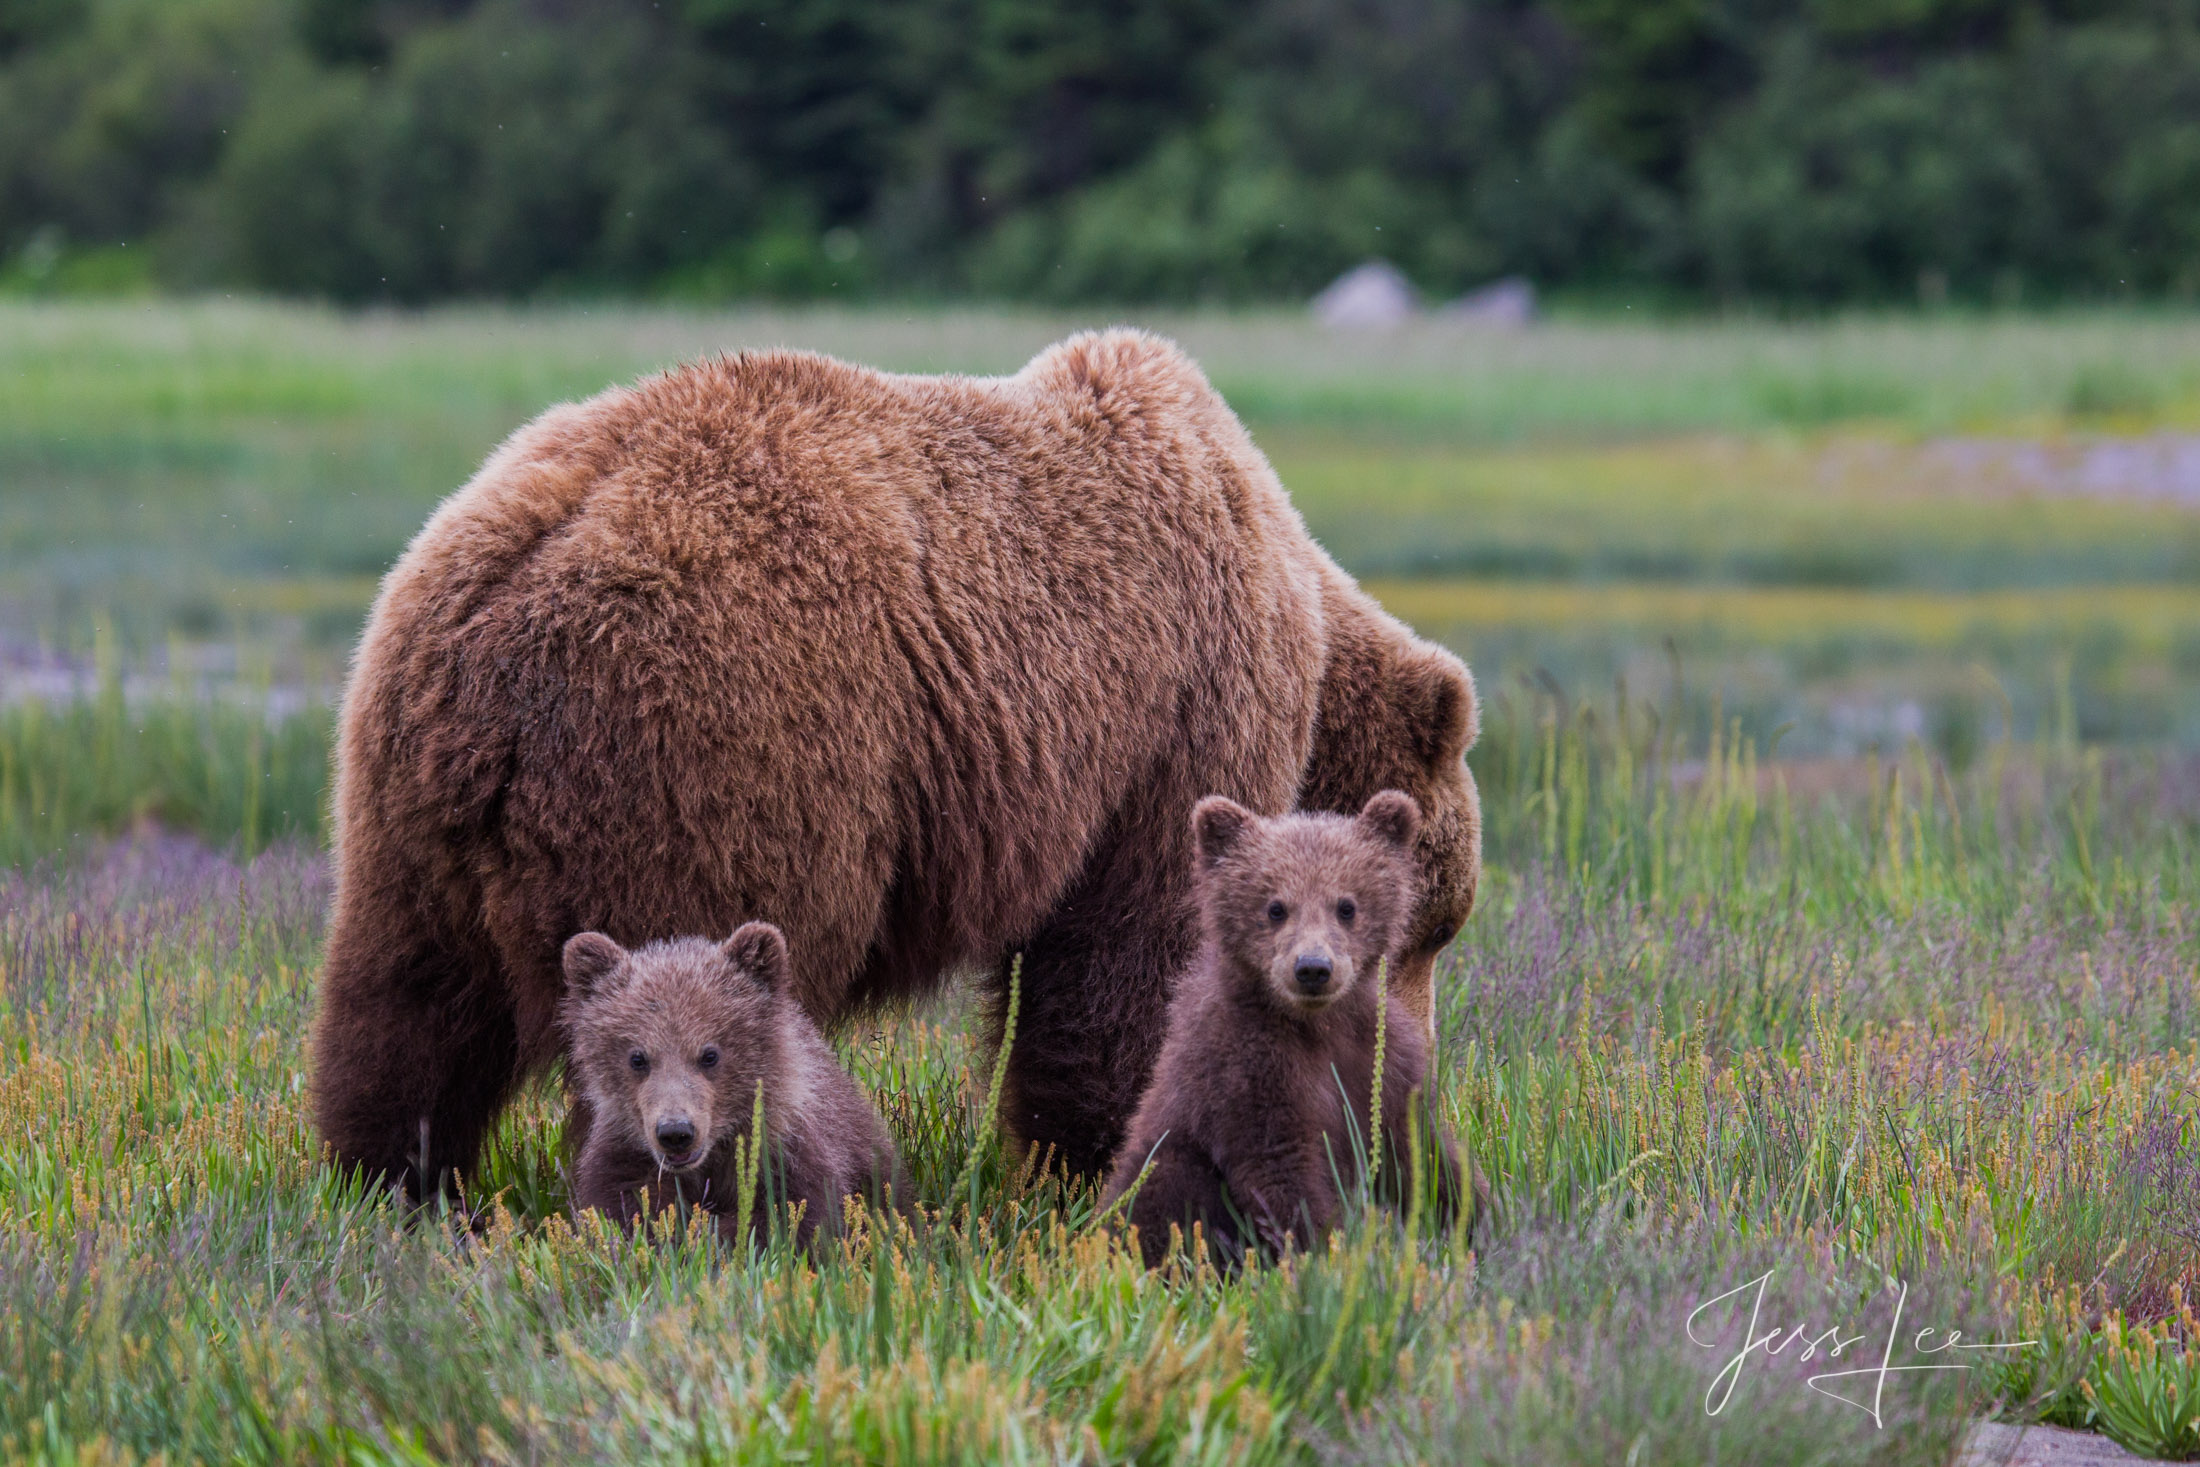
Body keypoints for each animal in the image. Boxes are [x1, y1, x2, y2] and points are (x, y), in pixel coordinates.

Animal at [310, 327, 1478, 1196]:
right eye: (1426, 931)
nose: (1404, 1085)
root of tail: (506, 604)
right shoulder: (1174, 715)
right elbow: (1126, 960)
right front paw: (1111, 1153)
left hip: (400, 804)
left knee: (403, 1015)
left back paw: (395, 1186)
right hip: (712, 755)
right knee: (682, 1007)